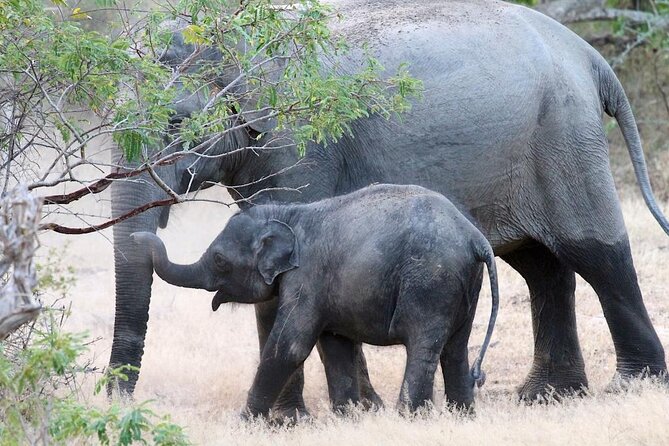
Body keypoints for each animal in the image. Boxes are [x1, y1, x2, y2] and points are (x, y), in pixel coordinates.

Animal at [131, 184, 500, 415]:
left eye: (220, 260)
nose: (138, 235)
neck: (289, 214)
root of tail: (476, 238)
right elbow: (336, 347)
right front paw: (347, 419)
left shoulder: (307, 277)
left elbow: (290, 347)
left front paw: (244, 423)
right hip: (462, 284)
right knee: (455, 350)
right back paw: (462, 418)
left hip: (430, 281)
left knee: (424, 347)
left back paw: (411, 420)